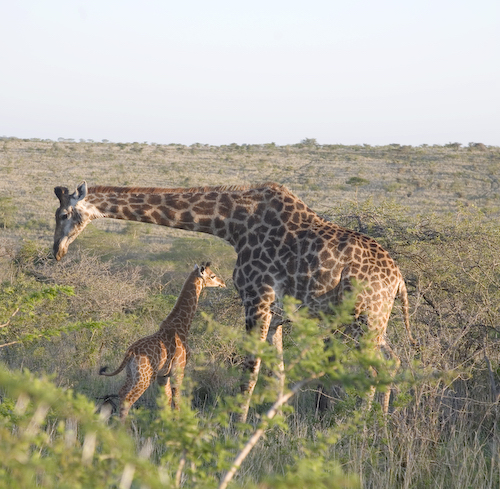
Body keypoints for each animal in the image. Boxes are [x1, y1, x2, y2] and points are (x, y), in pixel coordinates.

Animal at [99, 264, 225, 420]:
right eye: (212, 276)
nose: (223, 283)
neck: (180, 326)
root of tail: (130, 353)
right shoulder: (178, 370)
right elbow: (176, 400)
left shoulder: (163, 376)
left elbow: (166, 401)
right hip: (145, 377)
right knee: (128, 399)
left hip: (131, 374)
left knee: (122, 393)